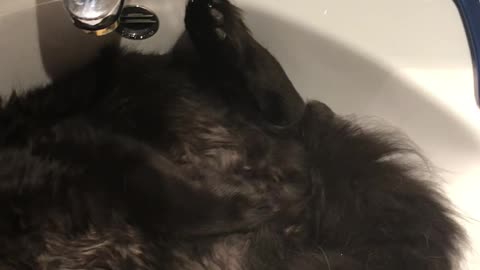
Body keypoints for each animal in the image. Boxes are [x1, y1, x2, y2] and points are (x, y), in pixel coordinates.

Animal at [0, 0, 464, 268]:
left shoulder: (86, 146)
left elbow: (172, 198)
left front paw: (253, 203)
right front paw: (257, 202)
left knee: (290, 103)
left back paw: (215, 24)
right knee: (298, 114)